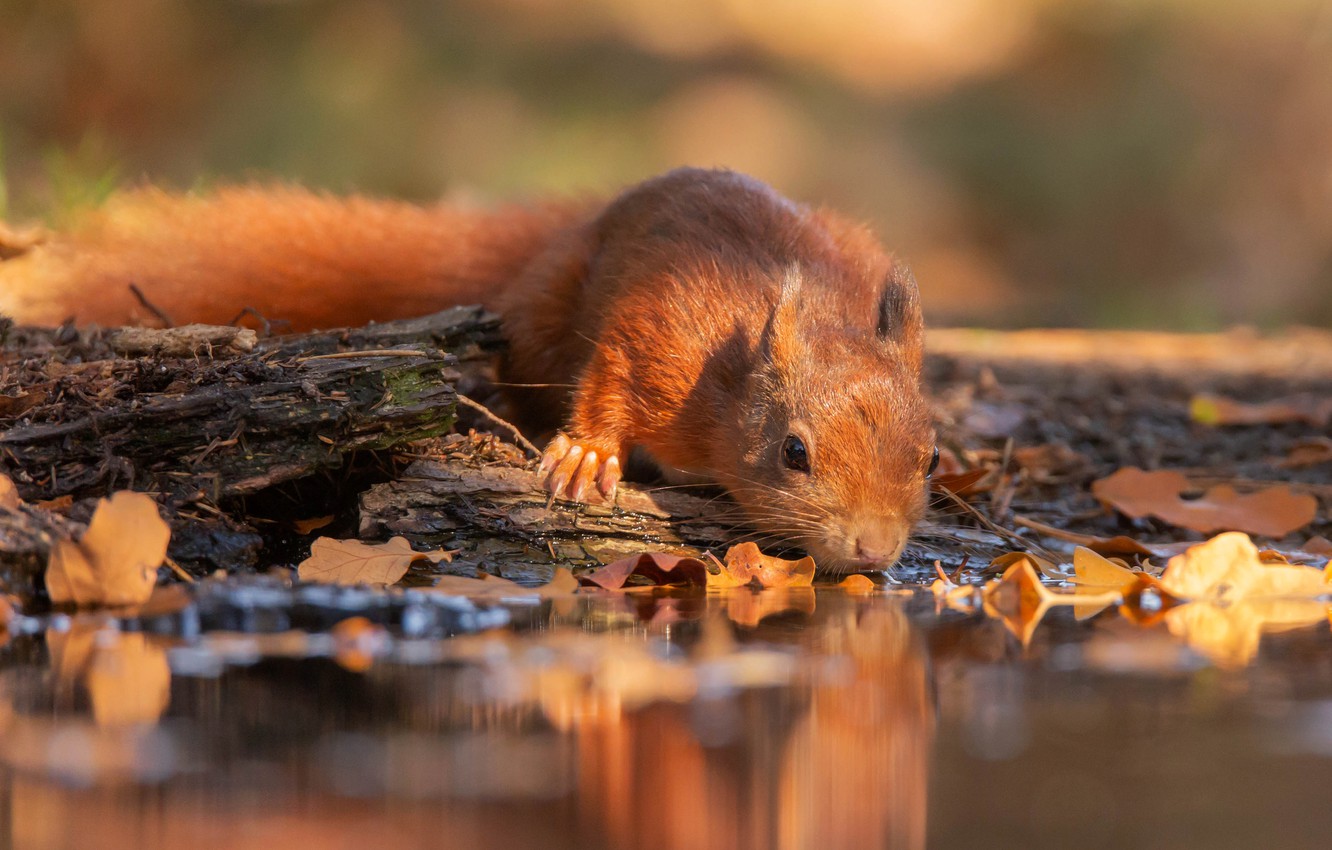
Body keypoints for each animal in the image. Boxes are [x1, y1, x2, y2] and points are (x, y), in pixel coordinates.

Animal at [0, 167, 937, 572]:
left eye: (929, 457)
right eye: (793, 452)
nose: (876, 549)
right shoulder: (664, 328)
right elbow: (611, 377)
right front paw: (586, 456)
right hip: (545, 311)